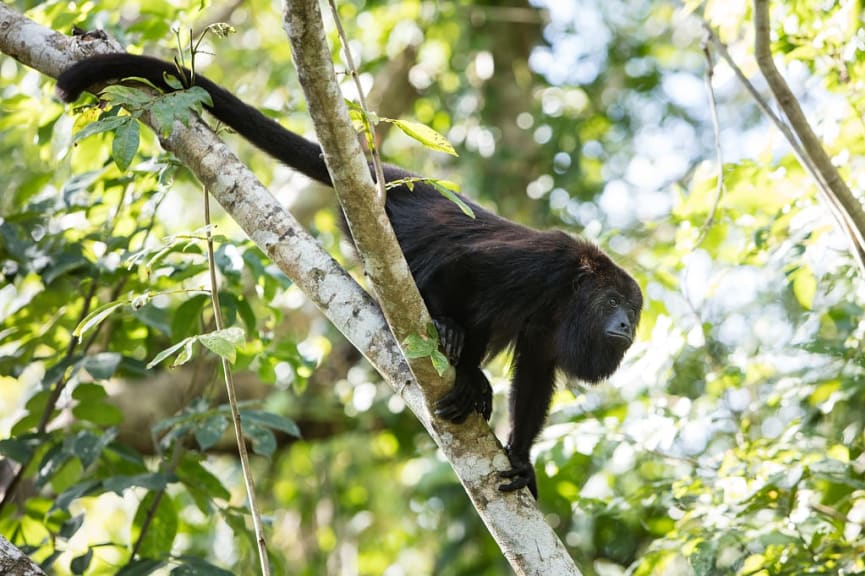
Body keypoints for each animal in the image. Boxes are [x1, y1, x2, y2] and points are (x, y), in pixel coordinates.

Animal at [57, 51, 640, 498]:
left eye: (634, 312)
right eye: (614, 303)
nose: (627, 328)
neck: (569, 294)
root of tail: (392, 181)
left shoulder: (550, 322)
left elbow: (537, 372)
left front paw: (520, 456)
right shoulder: (543, 265)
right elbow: (464, 266)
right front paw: (456, 346)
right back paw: (457, 354)